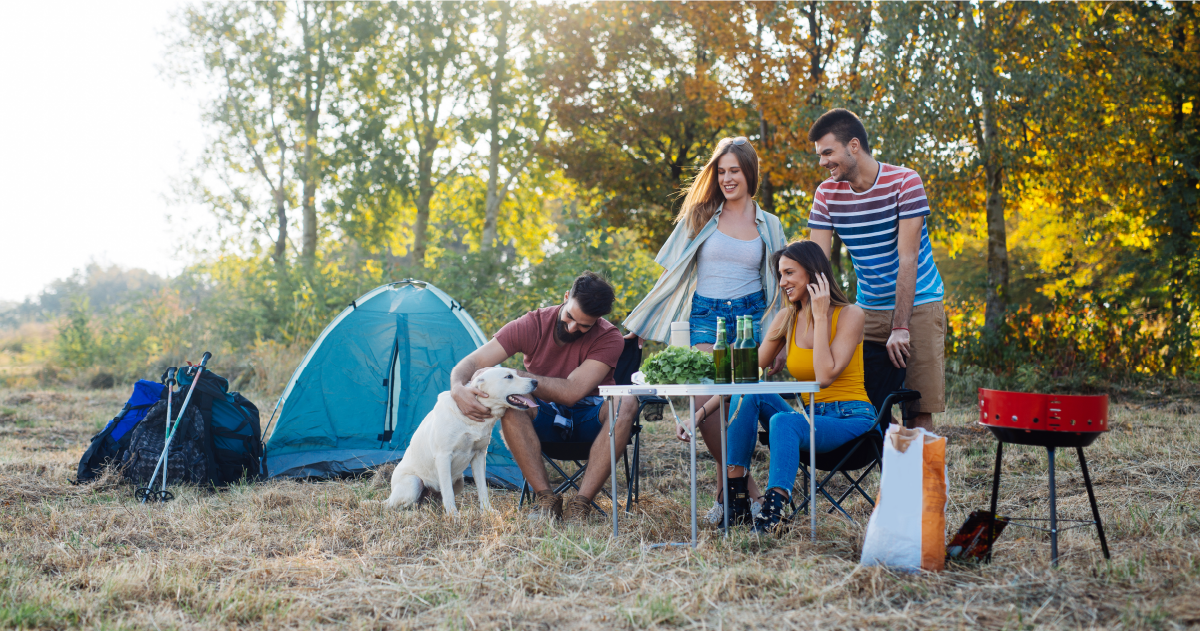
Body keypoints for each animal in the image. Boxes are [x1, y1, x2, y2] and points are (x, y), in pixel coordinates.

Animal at [381, 362, 538, 516]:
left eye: (516, 374)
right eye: (509, 376)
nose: (535, 382)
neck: (471, 419)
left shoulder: (479, 455)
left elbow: (482, 488)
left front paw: (487, 511)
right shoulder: (443, 457)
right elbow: (448, 492)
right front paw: (453, 516)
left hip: (459, 481)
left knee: (431, 502)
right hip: (414, 482)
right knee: (397, 506)